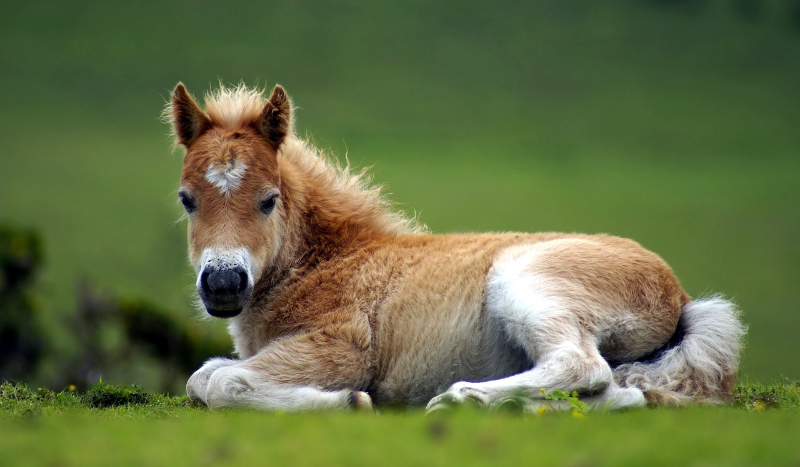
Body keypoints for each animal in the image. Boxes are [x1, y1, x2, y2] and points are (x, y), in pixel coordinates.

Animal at [166, 84, 748, 414]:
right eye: (187, 199)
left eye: (268, 200)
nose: (223, 284)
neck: (327, 261)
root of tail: (680, 296)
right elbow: (202, 377)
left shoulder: (339, 345)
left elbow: (223, 382)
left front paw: (351, 401)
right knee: (621, 393)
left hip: (527, 281)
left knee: (582, 366)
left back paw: (459, 398)